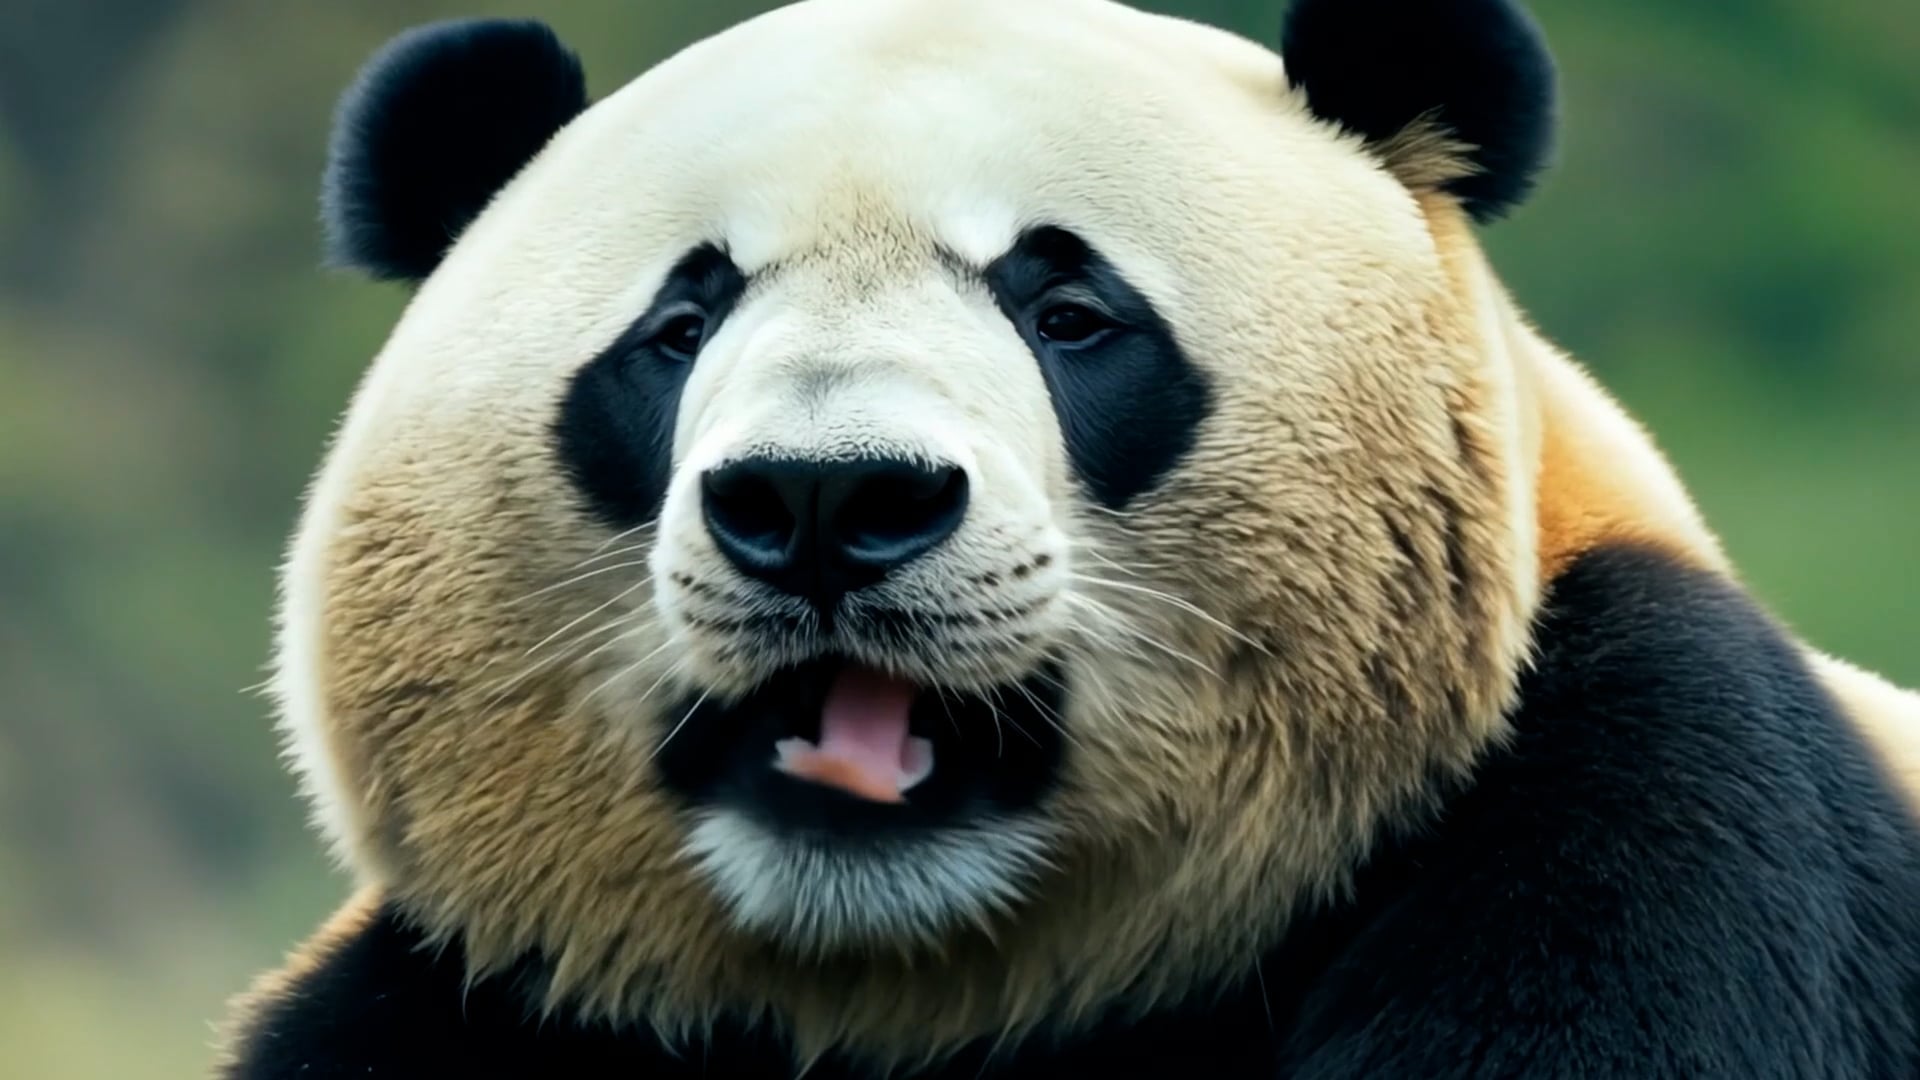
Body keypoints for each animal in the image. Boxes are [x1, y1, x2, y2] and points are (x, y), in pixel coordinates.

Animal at [217, 0, 1920, 1076]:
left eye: (1070, 311)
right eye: (678, 326)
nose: (827, 502)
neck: (914, 989)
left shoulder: (1649, 825)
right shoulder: (474, 1001)